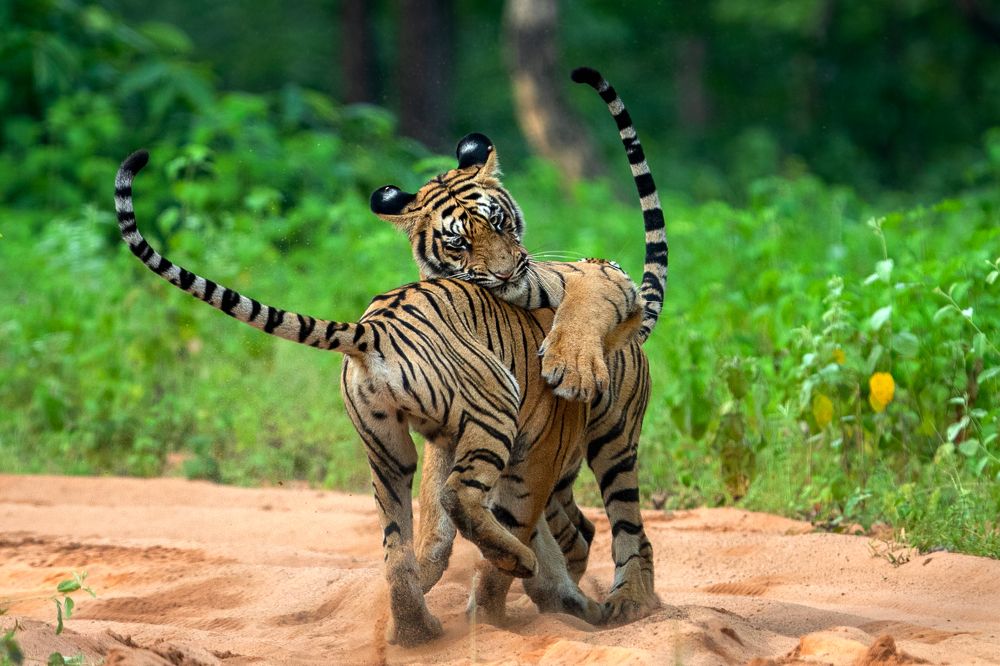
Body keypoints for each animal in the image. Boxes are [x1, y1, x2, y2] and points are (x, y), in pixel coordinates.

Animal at [112, 66, 666, 645]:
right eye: (458, 243)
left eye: (499, 223)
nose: (507, 273)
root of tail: (373, 331)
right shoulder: (509, 446)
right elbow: (474, 520)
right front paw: (500, 600)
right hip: (506, 416)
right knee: (490, 506)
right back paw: (563, 591)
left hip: (393, 449)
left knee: (407, 541)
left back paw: (428, 623)